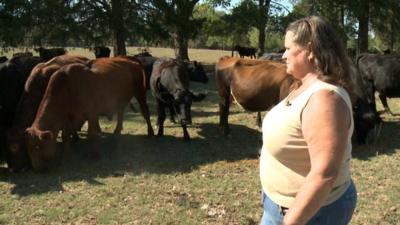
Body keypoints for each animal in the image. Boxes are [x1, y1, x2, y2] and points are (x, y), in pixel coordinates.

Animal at [25, 57, 153, 171]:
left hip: (140, 93)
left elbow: (91, 134)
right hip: (120, 100)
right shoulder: (69, 117)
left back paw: (150, 132)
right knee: (120, 113)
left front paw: (94, 155)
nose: (37, 168)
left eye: (38, 146)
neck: (68, 87)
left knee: (145, 112)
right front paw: (67, 155)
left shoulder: (91, 113)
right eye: (29, 149)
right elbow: (65, 135)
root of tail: (130, 60)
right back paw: (117, 132)